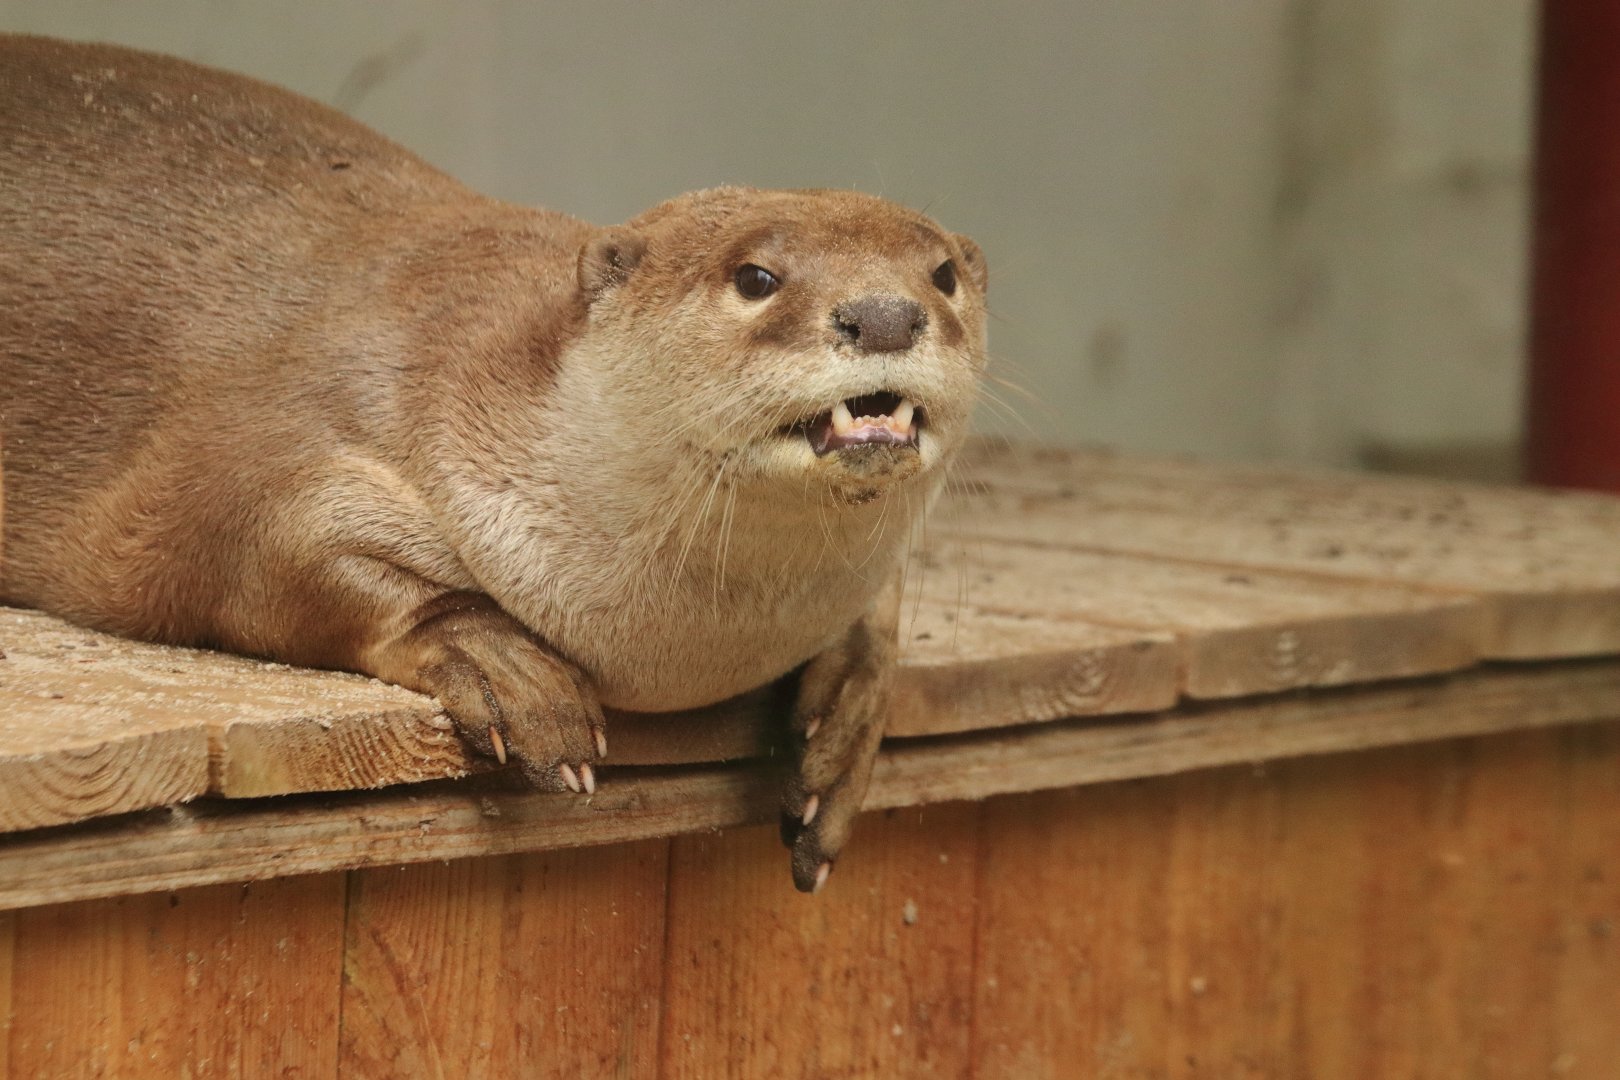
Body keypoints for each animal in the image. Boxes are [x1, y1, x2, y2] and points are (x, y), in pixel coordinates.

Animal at [0, 35, 987, 892]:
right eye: (755, 278)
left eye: (941, 272)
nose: (885, 313)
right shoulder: (280, 426)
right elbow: (251, 543)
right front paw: (501, 664)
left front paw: (847, 725)